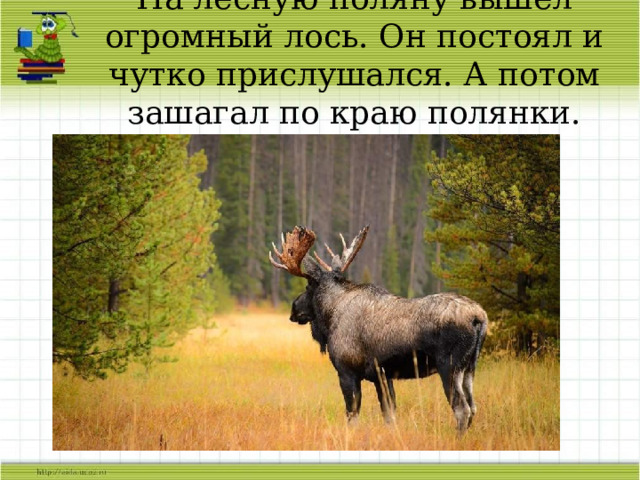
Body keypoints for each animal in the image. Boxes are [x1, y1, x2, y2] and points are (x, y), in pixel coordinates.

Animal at [269, 225, 488, 433]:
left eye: (308, 287)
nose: (294, 309)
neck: (330, 316)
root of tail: (479, 317)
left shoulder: (347, 371)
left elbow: (352, 414)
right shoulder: (383, 375)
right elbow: (389, 414)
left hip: (449, 366)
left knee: (462, 409)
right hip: (470, 368)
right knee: (473, 407)